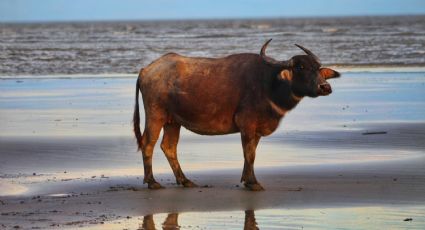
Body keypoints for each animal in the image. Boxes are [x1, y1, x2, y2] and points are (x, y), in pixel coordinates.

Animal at [132, 39, 338, 190]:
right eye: (300, 68)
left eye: (318, 68)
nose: (325, 87)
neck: (269, 84)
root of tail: (145, 70)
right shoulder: (246, 125)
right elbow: (249, 154)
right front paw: (253, 183)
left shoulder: (256, 130)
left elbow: (251, 152)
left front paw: (247, 179)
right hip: (155, 116)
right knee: (148, 144)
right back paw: (152, 182)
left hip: (173, 121)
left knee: (168, 147)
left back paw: (185, 180)